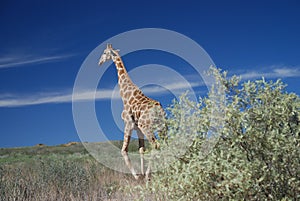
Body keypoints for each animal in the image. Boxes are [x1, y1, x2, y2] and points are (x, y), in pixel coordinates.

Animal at [98, 44, 166, 181]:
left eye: (104, 52)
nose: (99, 62)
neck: (125, 96)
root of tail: (159, 110)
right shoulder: (137, 128)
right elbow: (141, 149)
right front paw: (141, 173)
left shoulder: (128, 124)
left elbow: (124, 150)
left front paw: (137, 176)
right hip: (162, 127)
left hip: (146, 127)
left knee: (156, 145)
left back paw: (149, 175)